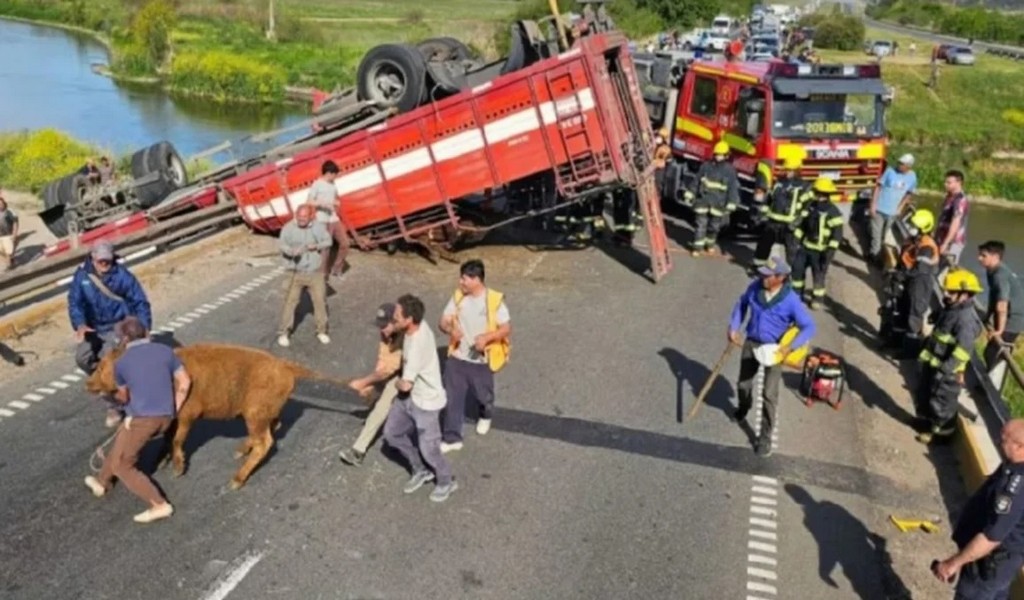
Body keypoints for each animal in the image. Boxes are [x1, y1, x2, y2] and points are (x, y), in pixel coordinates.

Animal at [86, 337, 362, 487]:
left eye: (100, 367)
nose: (87, 383)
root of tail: (284, 365)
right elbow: (167, 438)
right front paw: (162, 460)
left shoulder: (186, 416)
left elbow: (177, 440)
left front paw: (178, 466)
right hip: (262, 412)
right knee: (273, 427)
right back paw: (242, 450)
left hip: (254, 413)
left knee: (265, 441)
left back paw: (237, 478)